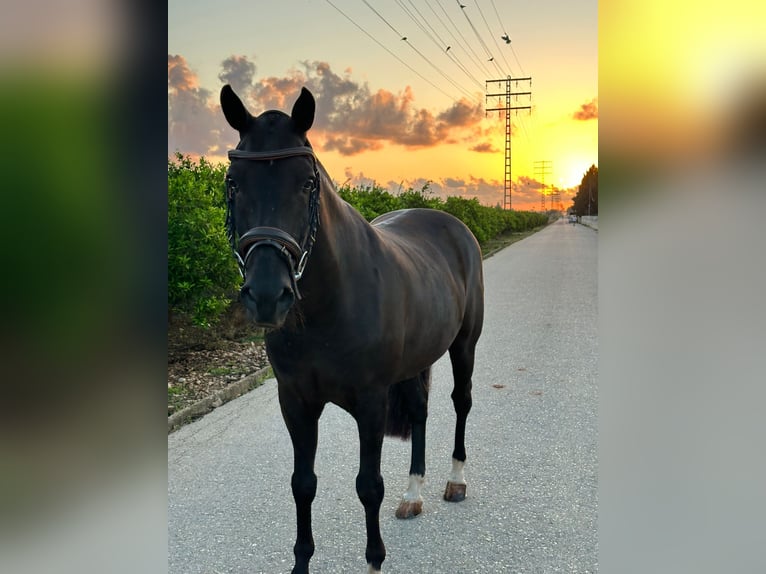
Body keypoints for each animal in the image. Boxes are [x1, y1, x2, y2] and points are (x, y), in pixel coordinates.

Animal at [219, 85, 484, 574]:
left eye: (307, 183)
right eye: (233, 182)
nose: (267, 295)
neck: (325, 311)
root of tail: (453, 225)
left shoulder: (370, 402)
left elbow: (368, 486)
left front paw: (374, 560)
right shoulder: (296, 401)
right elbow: (302, 483)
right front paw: (301, 563)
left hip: (464, 345)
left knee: (461, 401)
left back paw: (456, 481)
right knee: (420, 410)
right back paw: (413, 493)